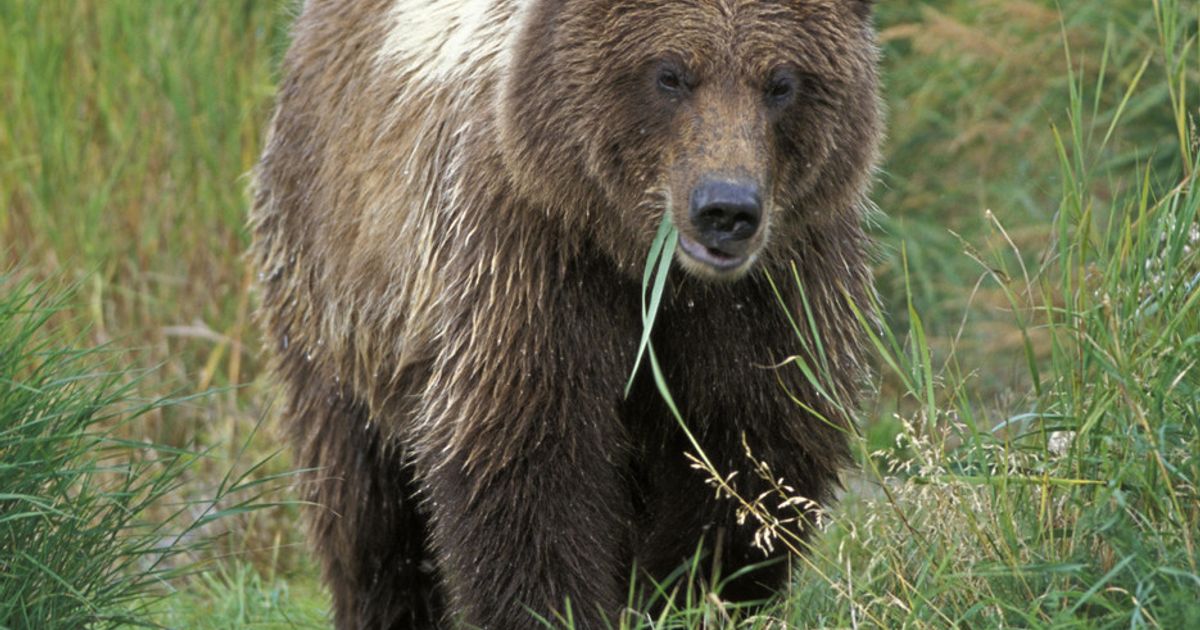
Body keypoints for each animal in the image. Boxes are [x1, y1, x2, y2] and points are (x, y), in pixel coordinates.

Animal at [250, 1, 883, 628]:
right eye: (670, 74)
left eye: (781, 83)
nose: (726, 209)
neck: (649, 268)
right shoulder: (530, 264)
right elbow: (528, 462)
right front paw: (556, 607)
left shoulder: (774, 293)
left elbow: (748, 457)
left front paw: (686, 595)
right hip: (335, 288)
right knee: (365, 507)